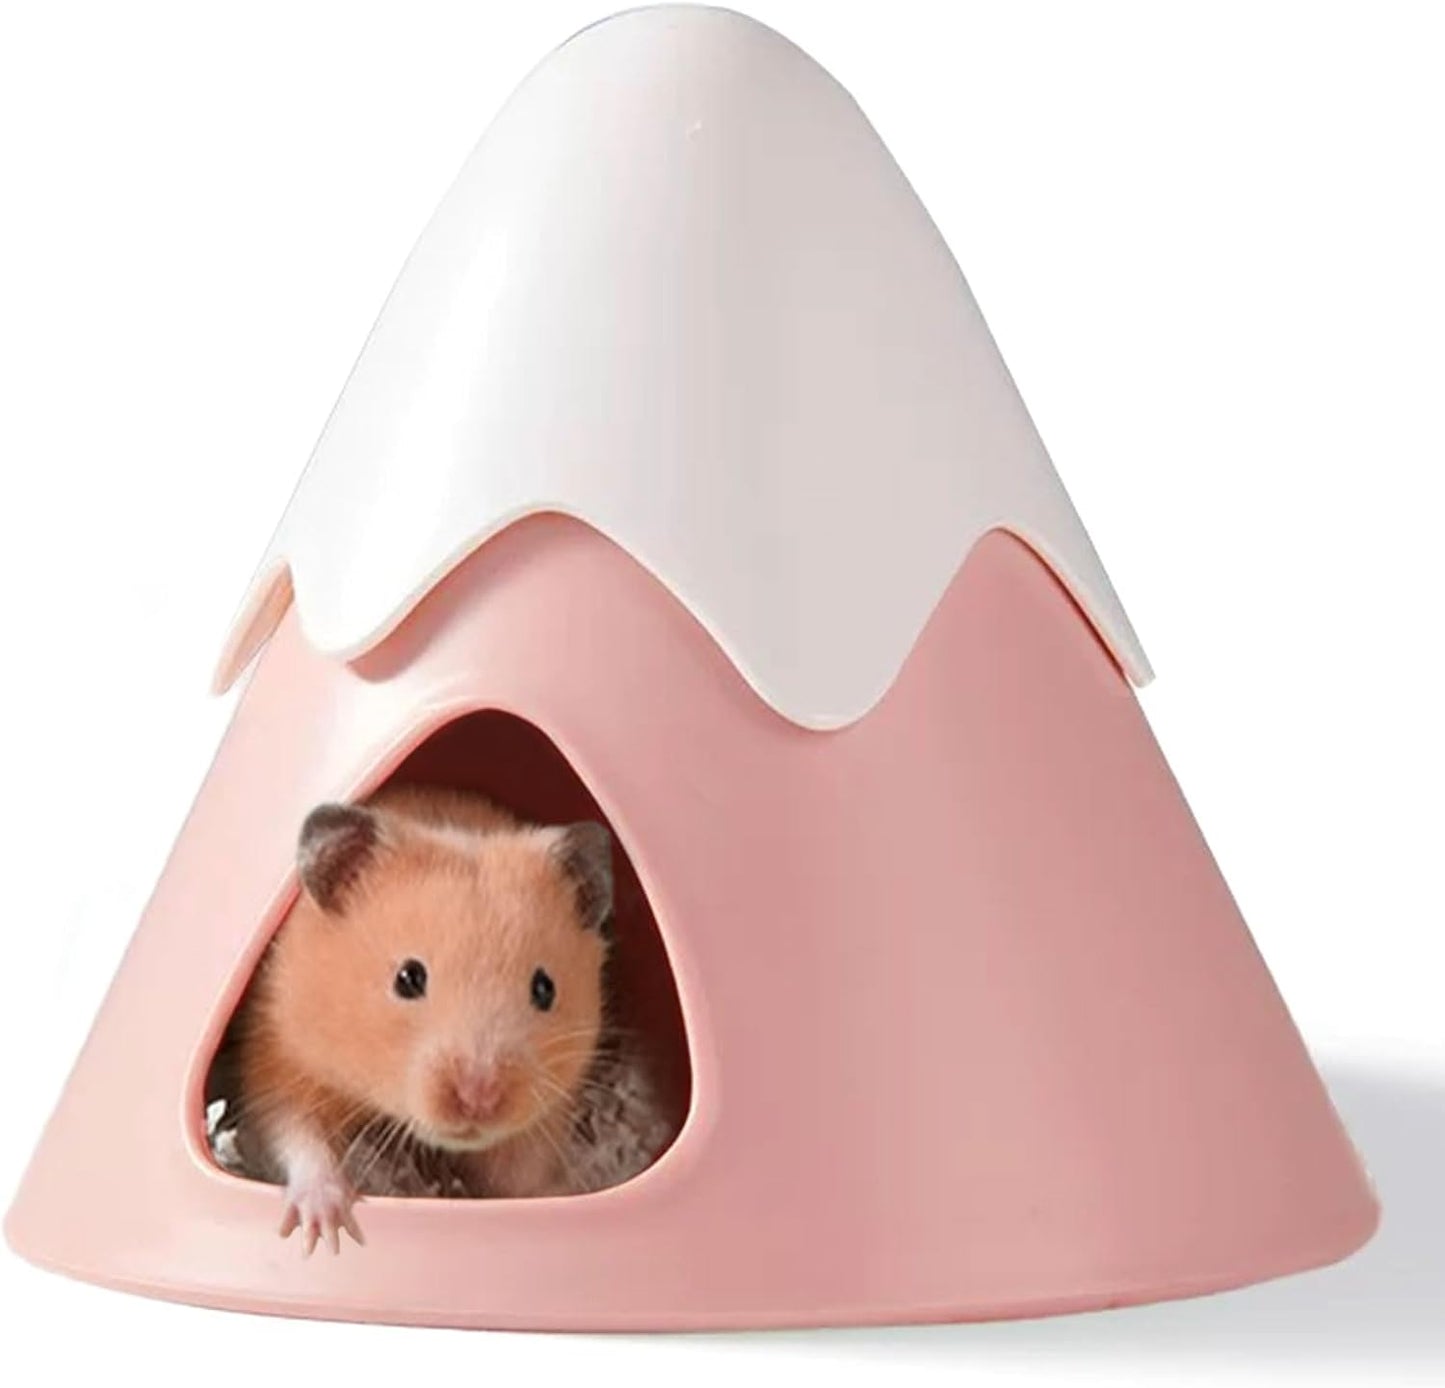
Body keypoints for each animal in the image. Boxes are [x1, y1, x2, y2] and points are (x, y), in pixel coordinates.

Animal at [233, 782, 614, 1254]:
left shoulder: (537, 1121)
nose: (478, 1099)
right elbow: (296, 1133)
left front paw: (561, 1197)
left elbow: (522, 1173)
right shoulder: (277, 1057)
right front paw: (326, 1232)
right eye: (408, 978)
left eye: (545, 989)